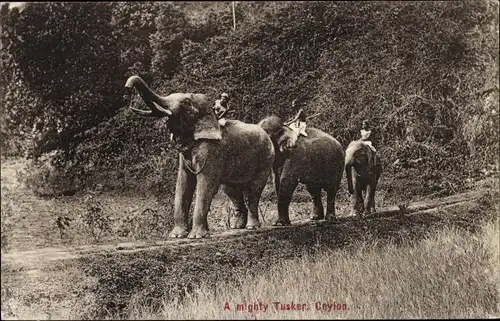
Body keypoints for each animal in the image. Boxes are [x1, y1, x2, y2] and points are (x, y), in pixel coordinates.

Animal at [124, 75, 274, 238]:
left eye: (186, 102)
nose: (127, 89)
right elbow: (183, 183)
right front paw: (177, 236)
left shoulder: (213, 151)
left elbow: (205, 184)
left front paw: (196, 236)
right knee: (231, 190)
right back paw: (237, 227)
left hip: (265, 159)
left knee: (253, 191)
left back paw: (251, 227)